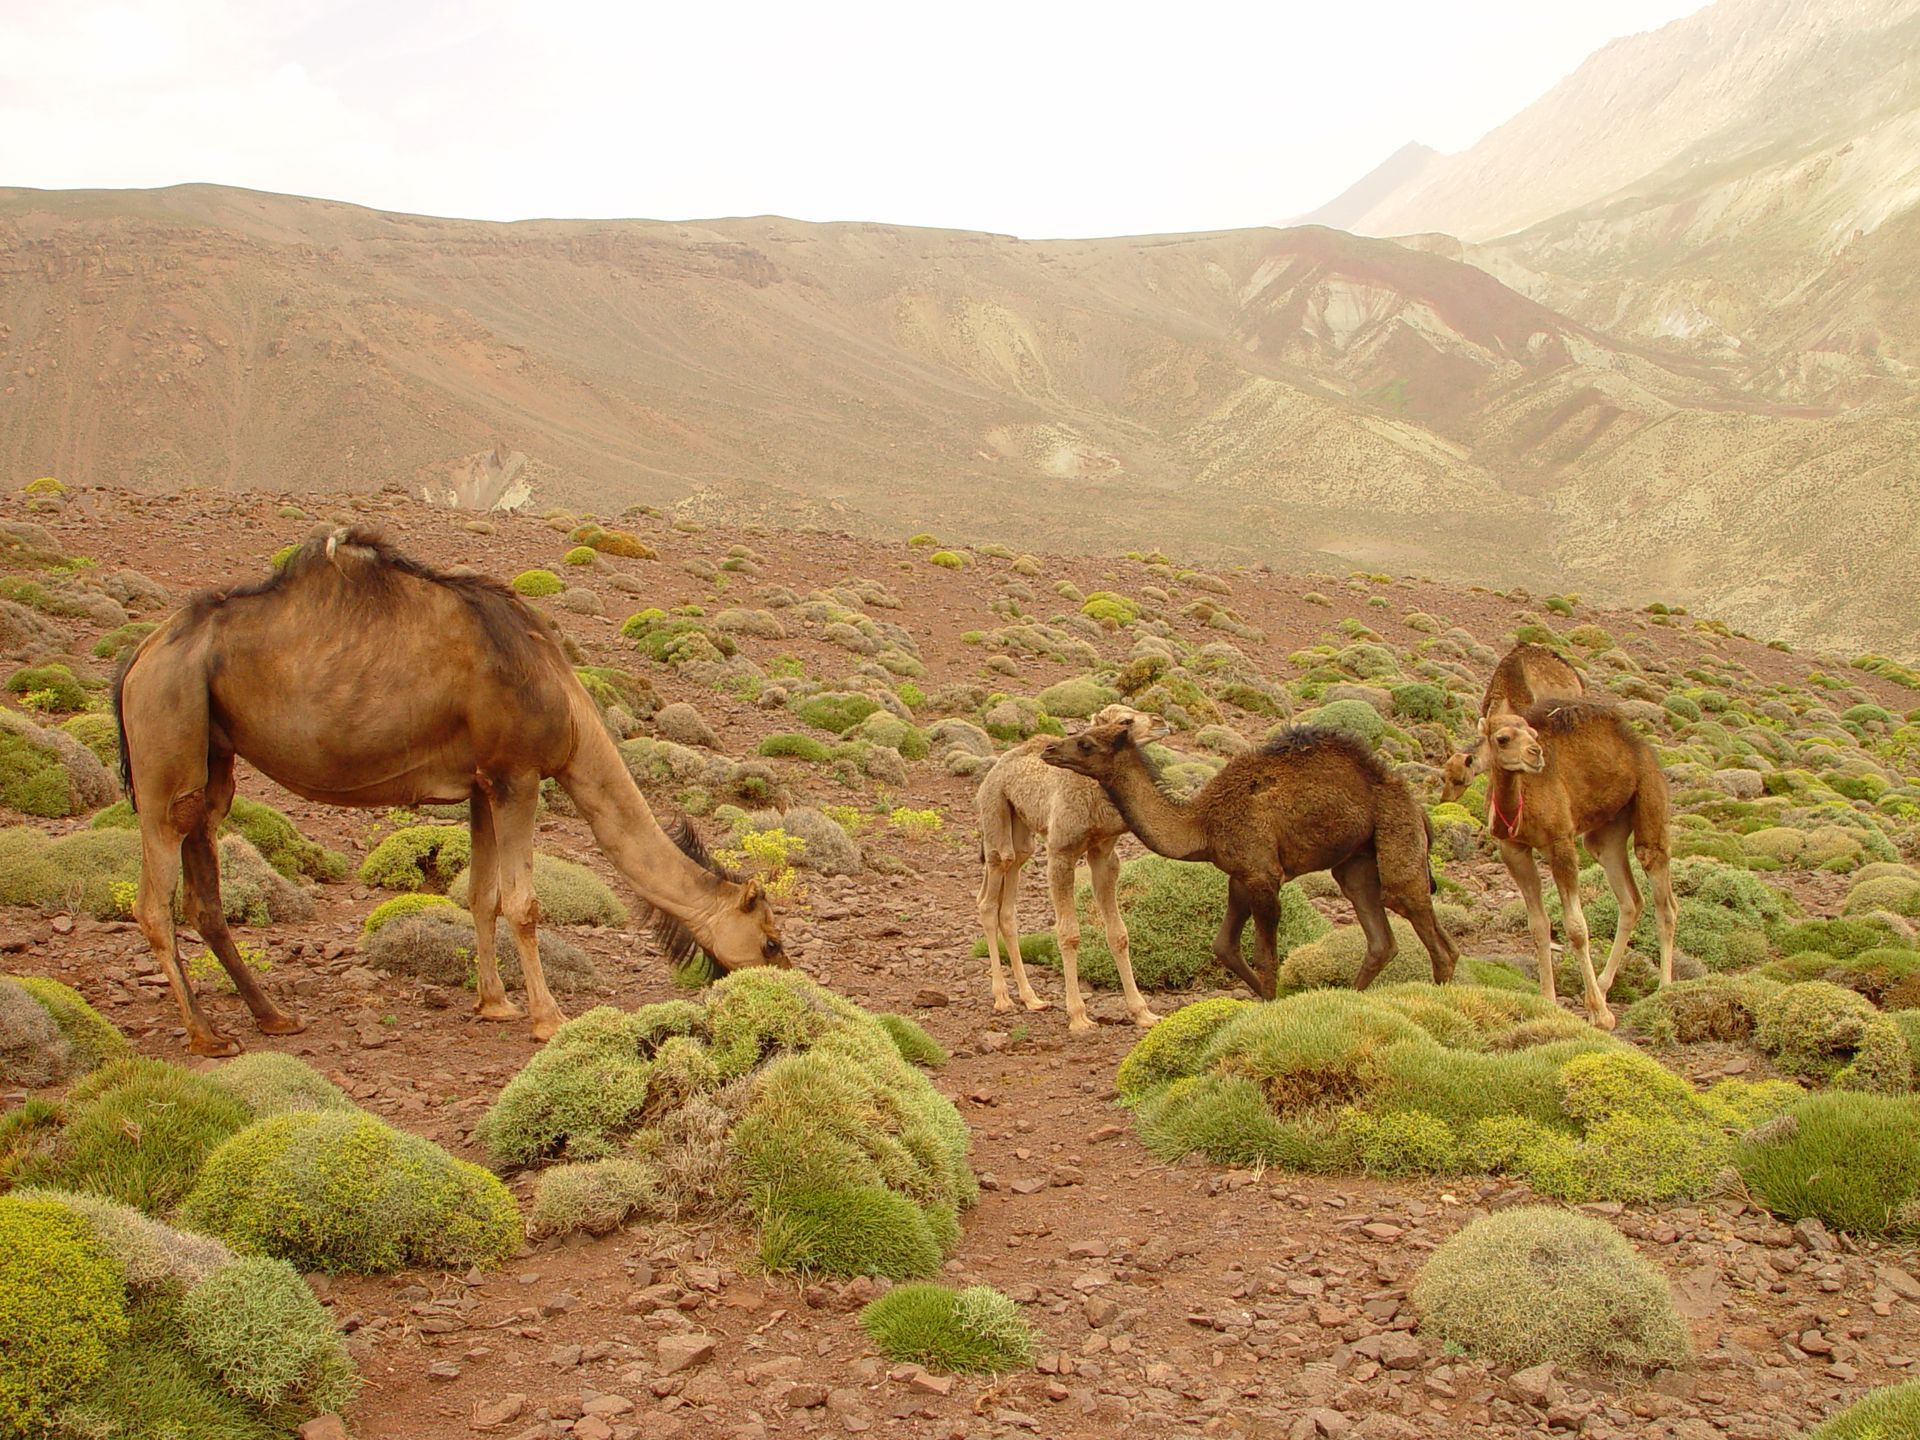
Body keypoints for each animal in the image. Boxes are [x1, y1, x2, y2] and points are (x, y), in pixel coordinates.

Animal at [116, 529, 787, 1059]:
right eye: (771, 939)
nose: (789, 982)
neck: (569, 709)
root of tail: (139, 655)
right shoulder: (517, 774)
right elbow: (523, 902)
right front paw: (548, 1019)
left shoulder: (481, 783)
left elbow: (481, 896)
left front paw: (494, 1004)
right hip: (166, 726)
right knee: (154, 895)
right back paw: (207, 1036)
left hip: (213, 752)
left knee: (204, 879)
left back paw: (274, 1017)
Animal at [975, 706, 1152, 1029]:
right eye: (1125, 721)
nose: (1161, 722)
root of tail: (993, 770)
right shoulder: (1061, 852)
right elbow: (1069, 934)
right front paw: (1078, 1016)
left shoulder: (1103, 853)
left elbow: (1118, 933)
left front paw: (1143, 1012)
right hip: (995, 814)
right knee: (988, 899)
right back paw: (1002, 998)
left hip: (1022, 834)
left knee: (1008, 902)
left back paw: (1032, 998)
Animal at [1044, 725, 1459, 998]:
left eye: (1085, 743)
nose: (1048, 749)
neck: (1202, 823)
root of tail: (1420, 810)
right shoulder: (1239, 876)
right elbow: (1223, 946)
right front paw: (1268, 999)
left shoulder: (1262, 874)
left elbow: (1266, 957)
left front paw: (1273, 1003)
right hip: (1355, 863)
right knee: (1381, 941)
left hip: (1398, 841)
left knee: (1434, 937)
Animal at [1474, 695, 1674, 1029]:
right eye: (1502, 738)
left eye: (1534, 735)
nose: (1535, 755)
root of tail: (1642, 744)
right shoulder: (1513, 848)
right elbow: (1538, 925)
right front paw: (1548, 1001)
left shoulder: (1561, 843)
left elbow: (1577, 928)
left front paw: (1600, 1014)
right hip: (1607, 832)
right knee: (1631, 900)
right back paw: (1604, 986)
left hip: (1649, 797)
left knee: (1664, 897)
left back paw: (1664, 991)